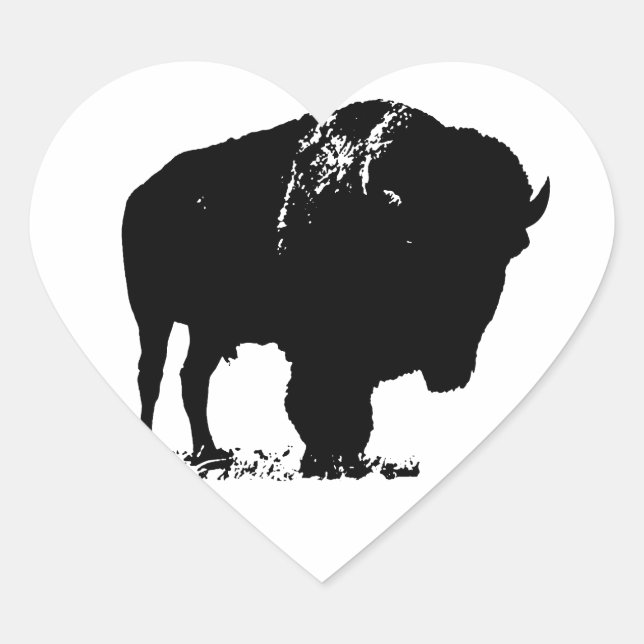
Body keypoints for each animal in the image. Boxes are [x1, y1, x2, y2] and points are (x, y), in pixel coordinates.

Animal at [122, 100, 549, 477]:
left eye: (505, 251)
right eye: (416, 244)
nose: (451, 369)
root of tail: (140, 195)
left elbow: (354, 413)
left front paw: (346, 462)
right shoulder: (318, 348)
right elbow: (316, 406)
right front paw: (322, 464)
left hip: (208, 329)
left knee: (193, 378)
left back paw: (211, 453)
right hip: (152, 315)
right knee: (152, 374)